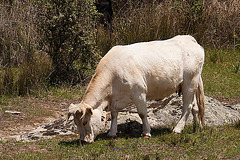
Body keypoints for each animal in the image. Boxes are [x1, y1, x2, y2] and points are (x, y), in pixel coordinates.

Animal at [67, 35, 204, 143]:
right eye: (75, 123)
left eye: (84, 122)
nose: (83, 141)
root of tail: (189, 38)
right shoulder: (115, 99)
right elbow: (114, 114)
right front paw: (112, 133)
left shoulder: (139, 92)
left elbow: (142, 113)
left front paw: (146, 133)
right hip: (191, 84)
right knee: (195, 106)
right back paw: (198, 128)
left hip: (190, 82)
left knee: (187, 106)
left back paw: (177, 129)